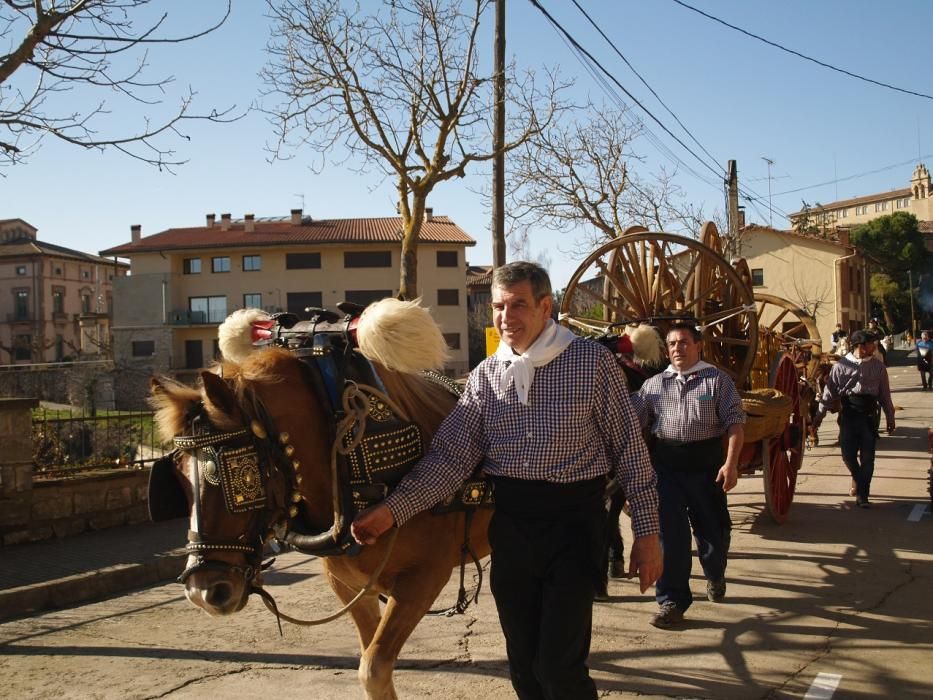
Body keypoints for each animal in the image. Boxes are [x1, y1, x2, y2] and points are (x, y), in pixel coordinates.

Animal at [149, 344, 492, 700]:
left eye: (231, 472)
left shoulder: (422, 580)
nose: (202, 592)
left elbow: (374, 668)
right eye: (178, 476)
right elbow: (370, 660)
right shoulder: (348, 585)